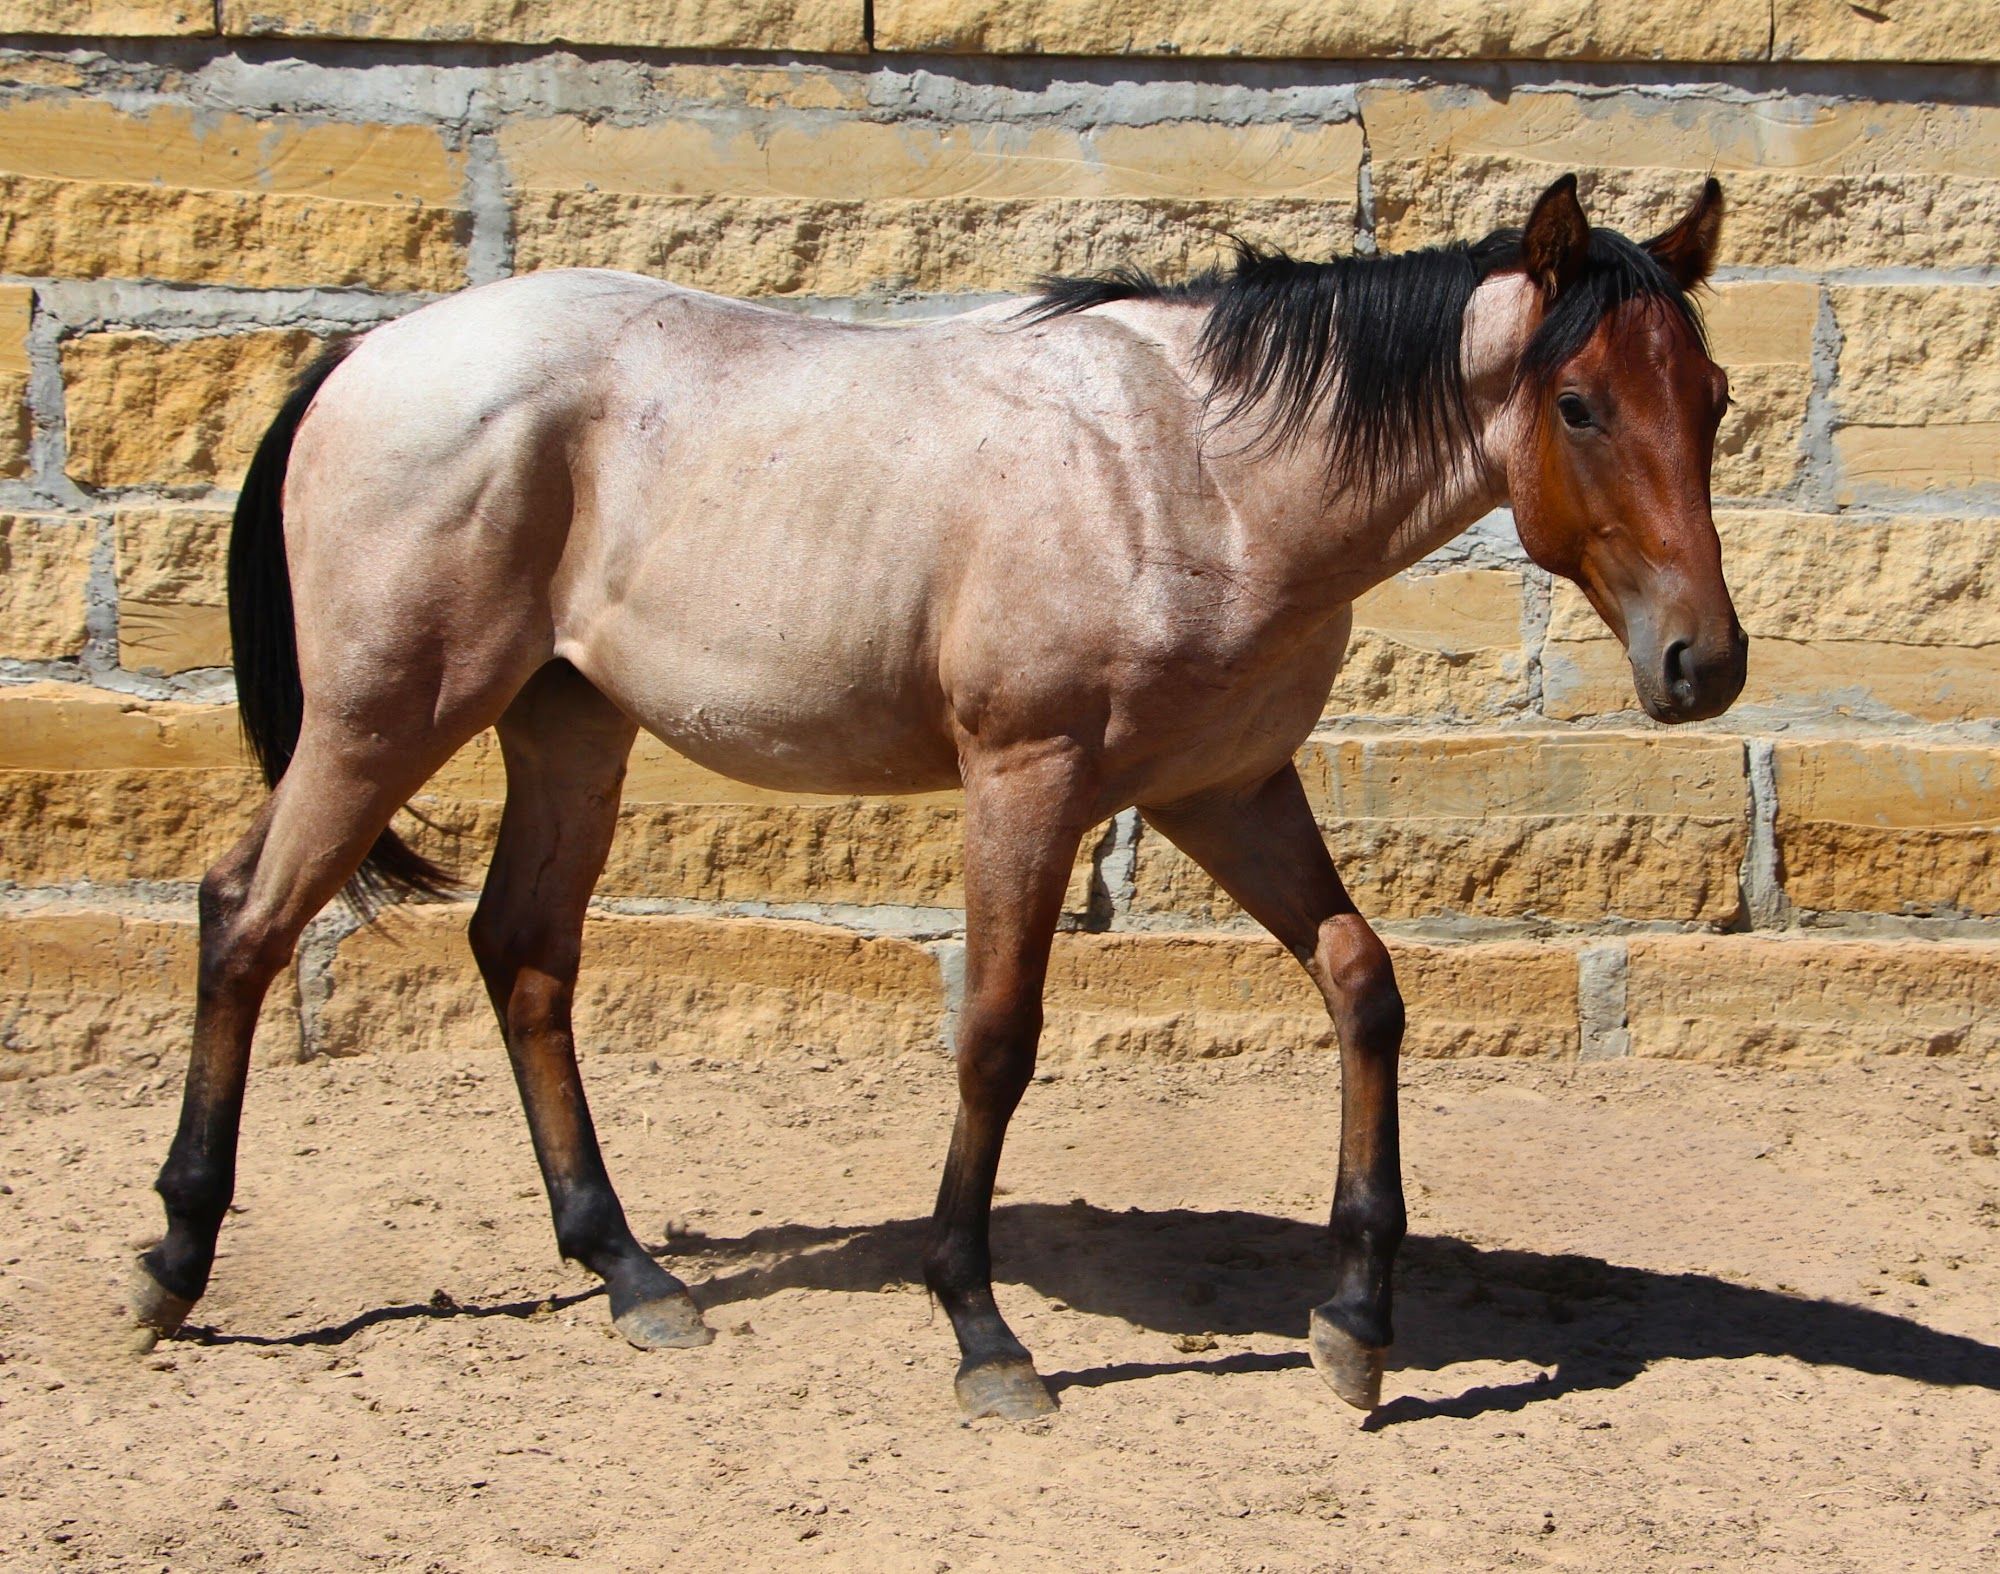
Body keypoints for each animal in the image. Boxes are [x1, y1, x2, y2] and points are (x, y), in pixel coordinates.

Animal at [129, 172, 1745, 1421]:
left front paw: (1353, 1324)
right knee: (246, 919)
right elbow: (996, 1039)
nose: (1703, 661)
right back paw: (174, 1263)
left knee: (522, 957)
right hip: (381, 718)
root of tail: (370, 350)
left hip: (567, 729)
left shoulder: (1225, 790)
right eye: (1580, 403)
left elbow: (1363, 985)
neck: (1200, 469)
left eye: (1713, 398)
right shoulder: (1026, 782)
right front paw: (982, 1331)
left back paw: (631, 1272)